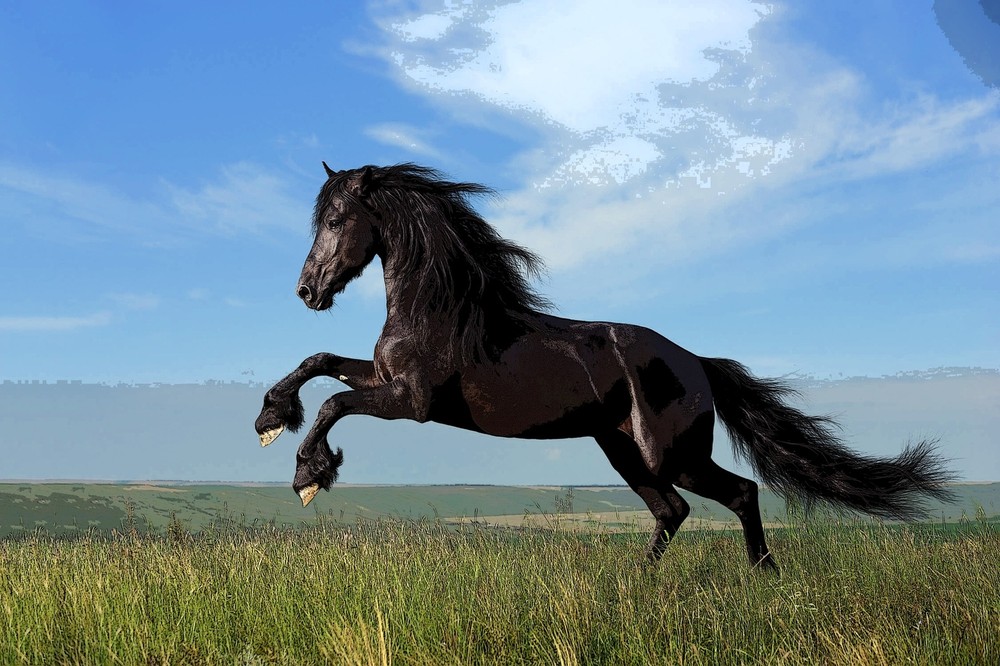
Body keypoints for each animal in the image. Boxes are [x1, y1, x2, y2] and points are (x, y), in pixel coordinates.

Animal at [255, 162, 954, 570]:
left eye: (336, 219)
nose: (308, 290)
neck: (440, 309)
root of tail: (698, 363)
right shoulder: (386, 380)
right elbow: (320, 362)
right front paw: (270, 418)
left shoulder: (413, 402)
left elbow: (335, 402)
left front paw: (309, 474)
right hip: (624, 452)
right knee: (672, 511)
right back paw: (639, 583)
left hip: (671, 453)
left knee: (738, 493)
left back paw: (762, 575)